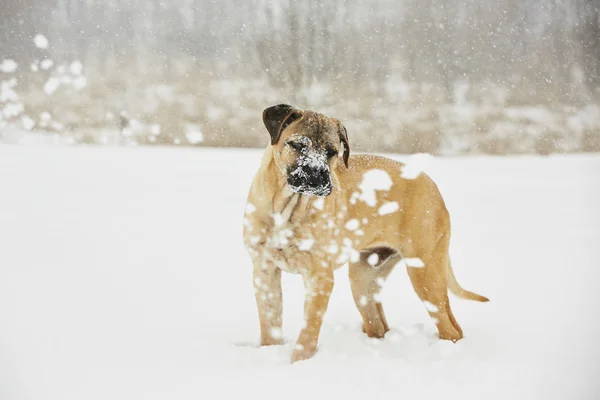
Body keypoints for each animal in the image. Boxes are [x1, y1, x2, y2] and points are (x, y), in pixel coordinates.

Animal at [243, 104, 488, 362]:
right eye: (298, 145)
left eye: (332, 152)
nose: (317, 178)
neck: (288, 207)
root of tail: (432, 185)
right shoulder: (264, 270)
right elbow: (269, 322)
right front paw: (271, 351)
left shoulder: (319, 276)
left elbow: (309, 328)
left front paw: (299, 361)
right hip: (364, 276)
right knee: (378, 324)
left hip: (425, 270)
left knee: (450, 328)